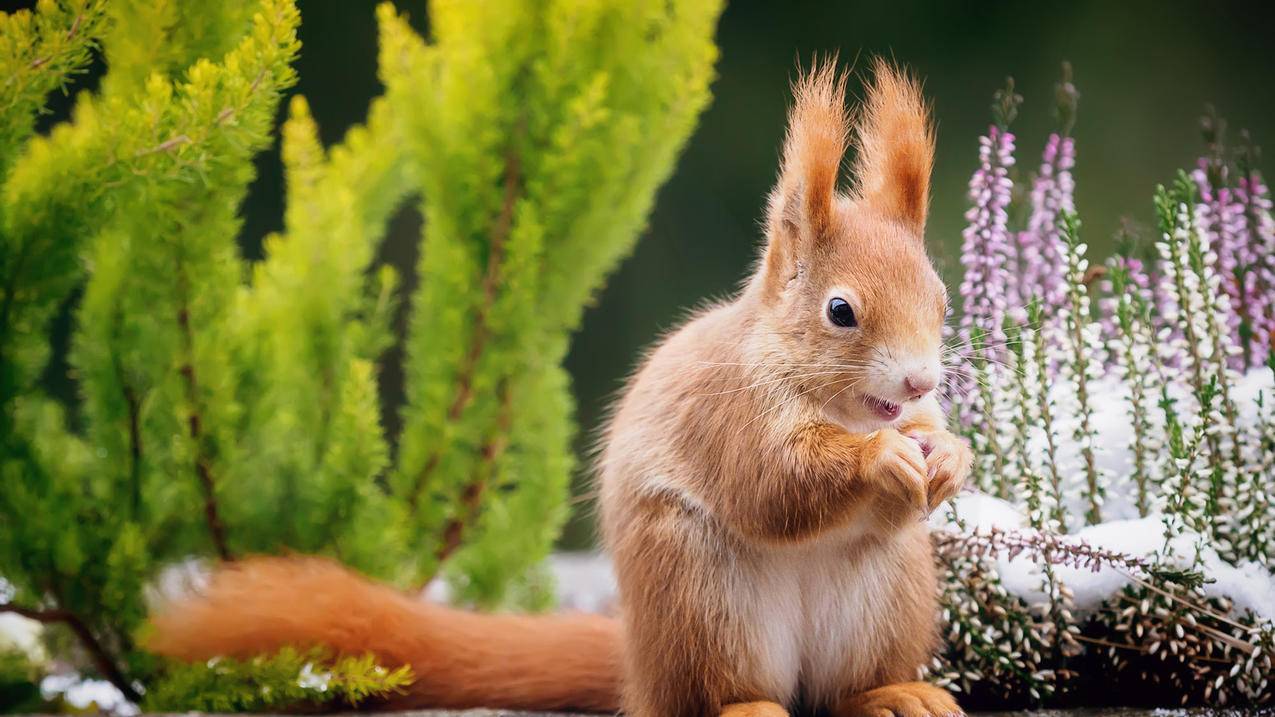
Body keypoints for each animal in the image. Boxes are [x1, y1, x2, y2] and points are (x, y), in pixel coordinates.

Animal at [144, 59, 969, 714]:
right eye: (840, 311)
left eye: (939, 298)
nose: (919, 376)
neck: (835, 402)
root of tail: (635, 664)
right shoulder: (727, 413)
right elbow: (773, 482)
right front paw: (879, 459)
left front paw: (950, 456)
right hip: (698, 595)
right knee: (706, 695)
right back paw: (750, 708)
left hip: (888, 594)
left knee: (840, 690)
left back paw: (894, 693)